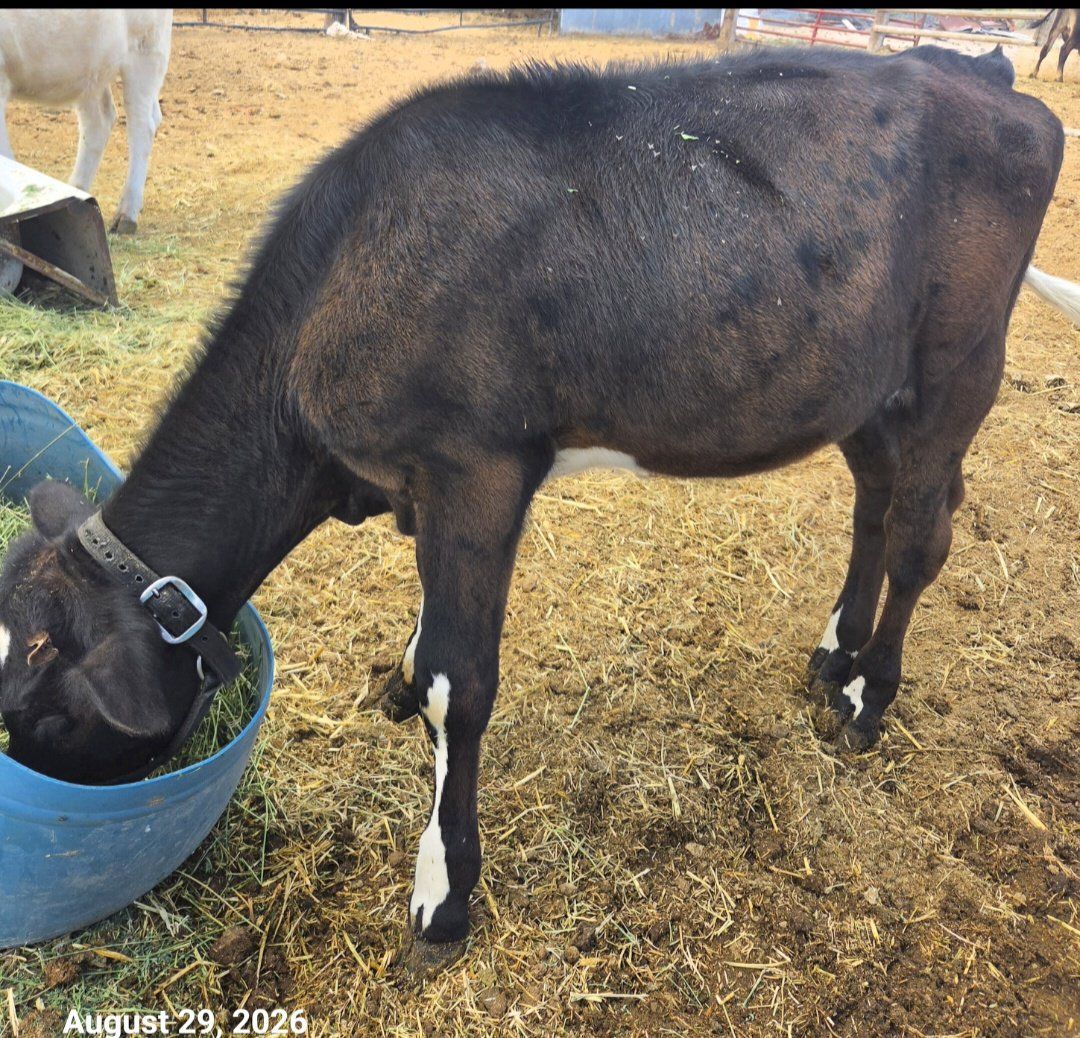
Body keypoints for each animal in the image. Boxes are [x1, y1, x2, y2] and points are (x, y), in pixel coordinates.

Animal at [0, 9, 172, 233]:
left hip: (147, 47)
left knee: (142, 125)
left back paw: (126, 215)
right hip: (91, 67)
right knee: (99, 121)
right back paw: (74, 192)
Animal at [1, 46, 1078, 955]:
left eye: (41, 714)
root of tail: (981, 73)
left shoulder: (474, 465)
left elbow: (461, 681)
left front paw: (443, 893)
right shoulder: (428, 488)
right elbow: (431, 638)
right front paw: (397, 680)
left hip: (958, 365)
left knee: (922, 534)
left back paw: (867, 695)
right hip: (864, 386)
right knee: (875, 504)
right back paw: (834, 653)